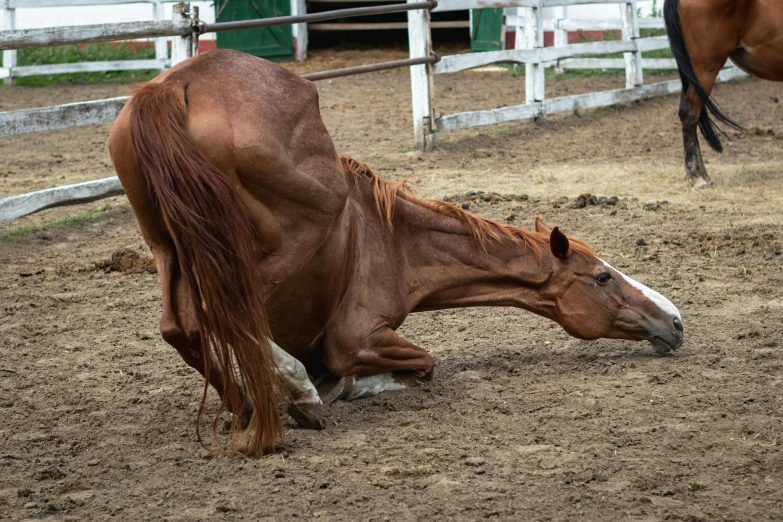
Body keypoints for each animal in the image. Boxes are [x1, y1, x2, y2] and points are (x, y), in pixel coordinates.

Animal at [110, 49, 688, 456]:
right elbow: (421, 364)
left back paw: (252, 406)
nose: (676, 321)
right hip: (283, 237)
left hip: (168, 248)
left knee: (182, 327)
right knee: (224, 313)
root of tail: (174, 85)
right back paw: (295, 398)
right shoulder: (356, 336)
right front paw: (335, 387)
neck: (391, 238)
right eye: (603, 277)